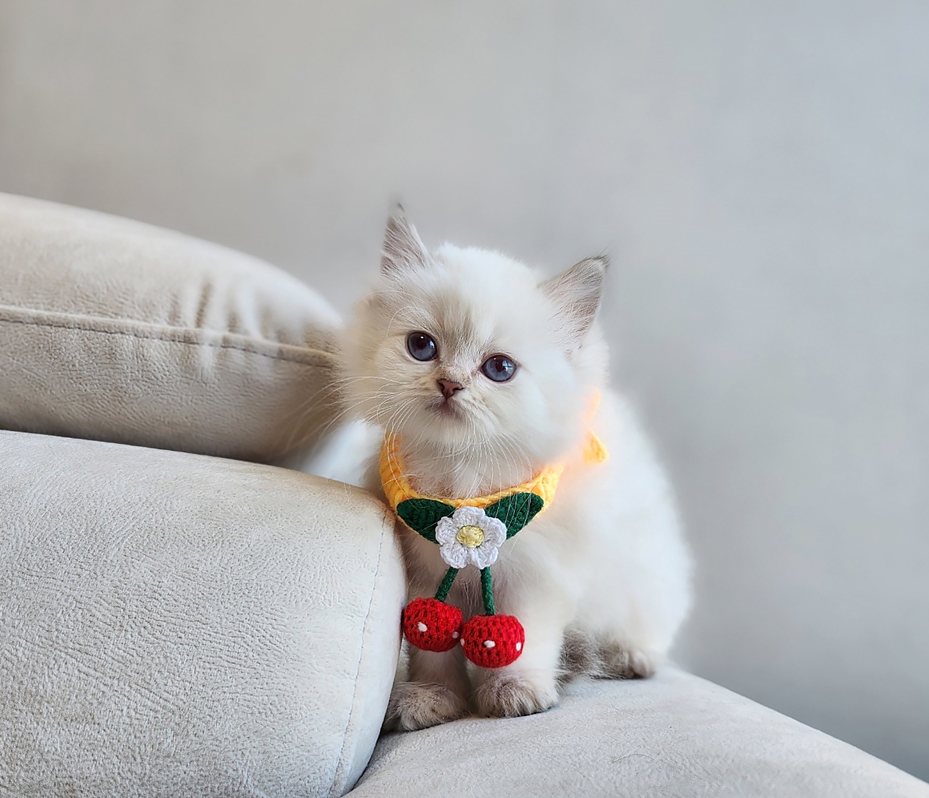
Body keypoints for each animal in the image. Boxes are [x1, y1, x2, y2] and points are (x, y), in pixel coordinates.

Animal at [341, 207, 692, 731]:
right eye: (422, 346)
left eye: (499, 369)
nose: (450, 384)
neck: (464, 479)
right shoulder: (426, 577)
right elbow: (434, 652)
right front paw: (434, 700)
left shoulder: (537, 578)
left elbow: (523, 642)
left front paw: (516, 694)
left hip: (645, 579)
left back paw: (629, 657)